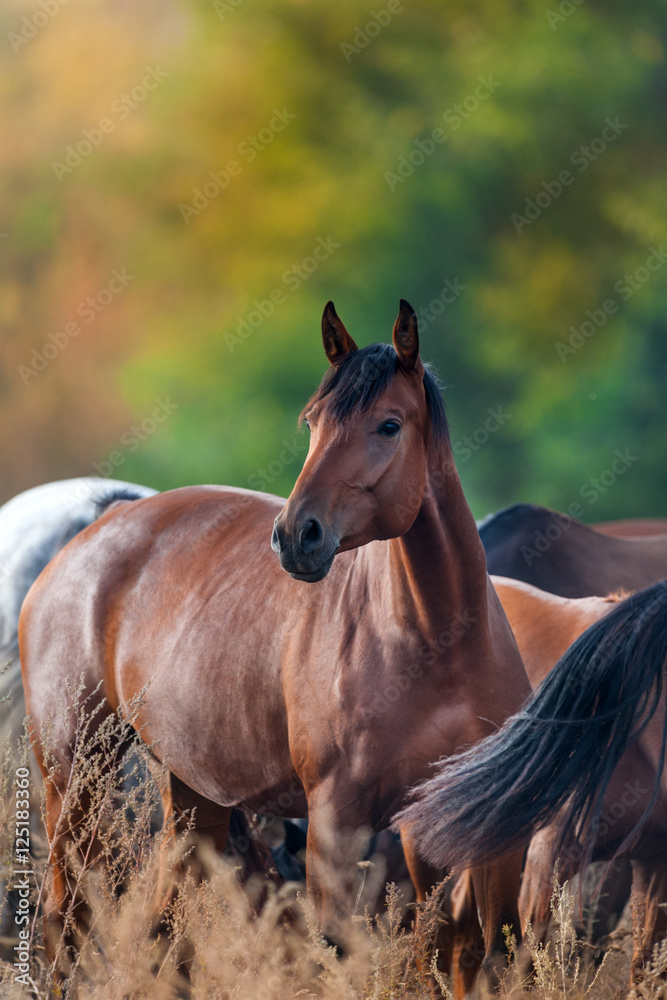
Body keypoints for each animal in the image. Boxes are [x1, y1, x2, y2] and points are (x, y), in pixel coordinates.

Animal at [20, 300, 532, 986]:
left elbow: (462, 952)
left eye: (389, 425)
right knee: (65, 922)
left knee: (162, 927)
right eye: (312, 422)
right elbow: (345, 953)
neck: (437, 645)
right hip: (77, 780)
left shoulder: (461, 830)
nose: (296, 536)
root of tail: (88, 536)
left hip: (189, 796)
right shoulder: (336, 826)